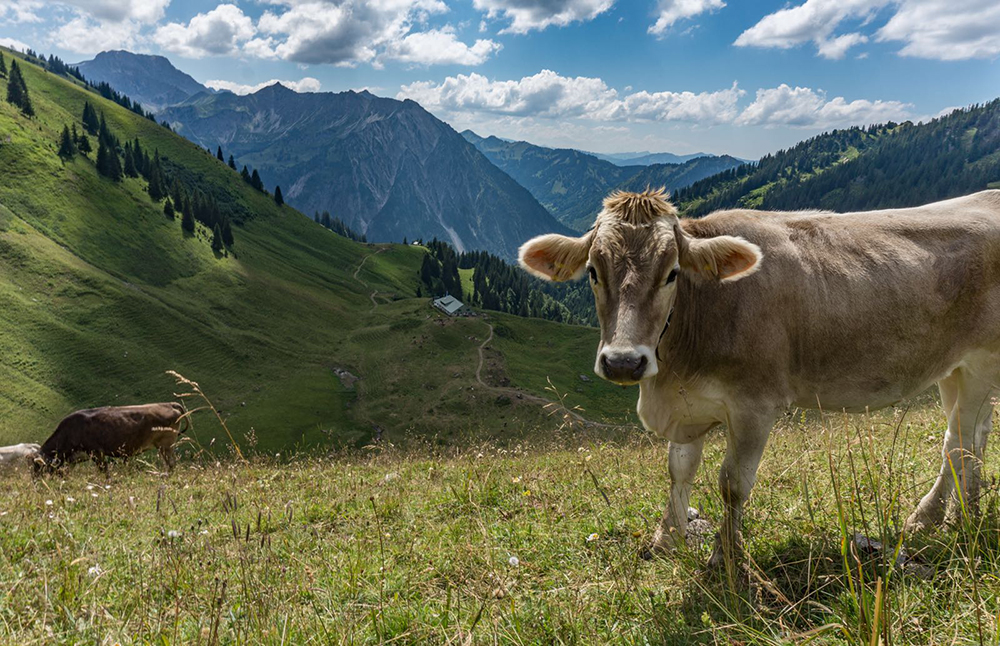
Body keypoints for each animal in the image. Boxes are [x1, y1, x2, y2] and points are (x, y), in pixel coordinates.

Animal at [36, 402, 189, 474]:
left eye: (38, 467)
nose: (36, 484)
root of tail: (169, 404)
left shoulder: (96, 452)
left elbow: (104, 470)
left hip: (166, 445)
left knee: (171, 463)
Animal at [520, 187, 1000, 568]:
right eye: (594, 272)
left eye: (672, 273)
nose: (623, 362)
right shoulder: (687, 404)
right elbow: (679, 470)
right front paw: (666, 540)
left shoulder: (755, 405)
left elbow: (732, 485)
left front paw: (725, 555)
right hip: (952, 368)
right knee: (971, 437)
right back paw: (959, 515)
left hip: (981, 362)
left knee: (959, 440)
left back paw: (935, 518)